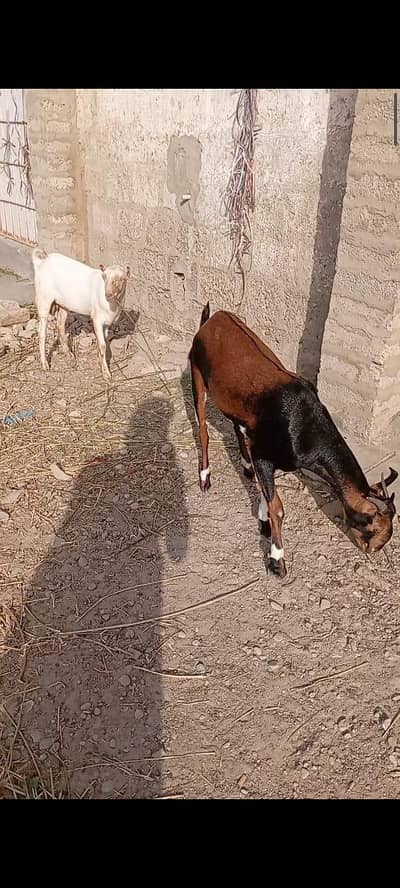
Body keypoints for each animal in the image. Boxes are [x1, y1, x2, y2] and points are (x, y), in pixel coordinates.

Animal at [32, 248, 130, 380]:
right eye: (104, 277)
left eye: (122, 279)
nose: (108, 294)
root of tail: (42, 262)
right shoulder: (97, 319)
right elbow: (103, 345)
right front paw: (106, 374)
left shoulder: (106, 323)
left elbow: (104, 342)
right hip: (44, 298)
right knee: (42, 333)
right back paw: (45, 364)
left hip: (63, 304)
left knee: (60, 325)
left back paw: (69, 353)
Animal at [189, 303, 398, 578]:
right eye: (372, 528)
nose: (373, 550)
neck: (304, 424)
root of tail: (212, 319)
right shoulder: (264, 457)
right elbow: (277, 507)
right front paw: (277, 560)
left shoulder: (262, 453)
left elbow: (266, 494)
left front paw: (263, 522)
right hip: (197, 375)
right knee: (203, 428)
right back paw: (205, 478)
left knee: (236, 428)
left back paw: (244, 468)